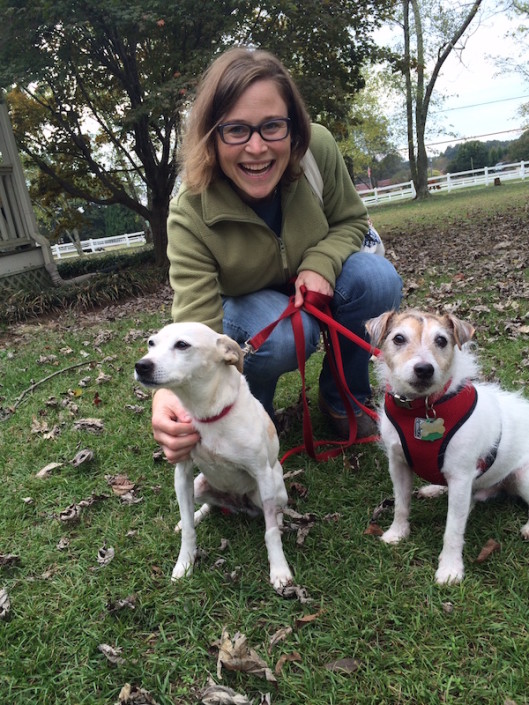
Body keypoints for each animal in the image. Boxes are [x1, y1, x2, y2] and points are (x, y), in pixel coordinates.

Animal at [133, 324, 292, 588]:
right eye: (151, 343)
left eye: (182, 345)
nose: (141, 365)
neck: (206, 413)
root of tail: (237, 506)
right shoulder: (182, 474)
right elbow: (189, 530)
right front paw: (184, 564)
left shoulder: (262, 474)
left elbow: (270, 533)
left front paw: (279, 569)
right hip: (199, 485)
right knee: (208, 505)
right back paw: (197, 514)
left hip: (270, 490)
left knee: (275, 513)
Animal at [366, 308, 528, 584]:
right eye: (398, 338)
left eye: (441, 340)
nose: (424, 369)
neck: (423, 407)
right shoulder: (398, 465)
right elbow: (401, 505)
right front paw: (397, 533)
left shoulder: (461, 478)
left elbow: (453, 529)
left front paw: (450, 568)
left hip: (523, 475)